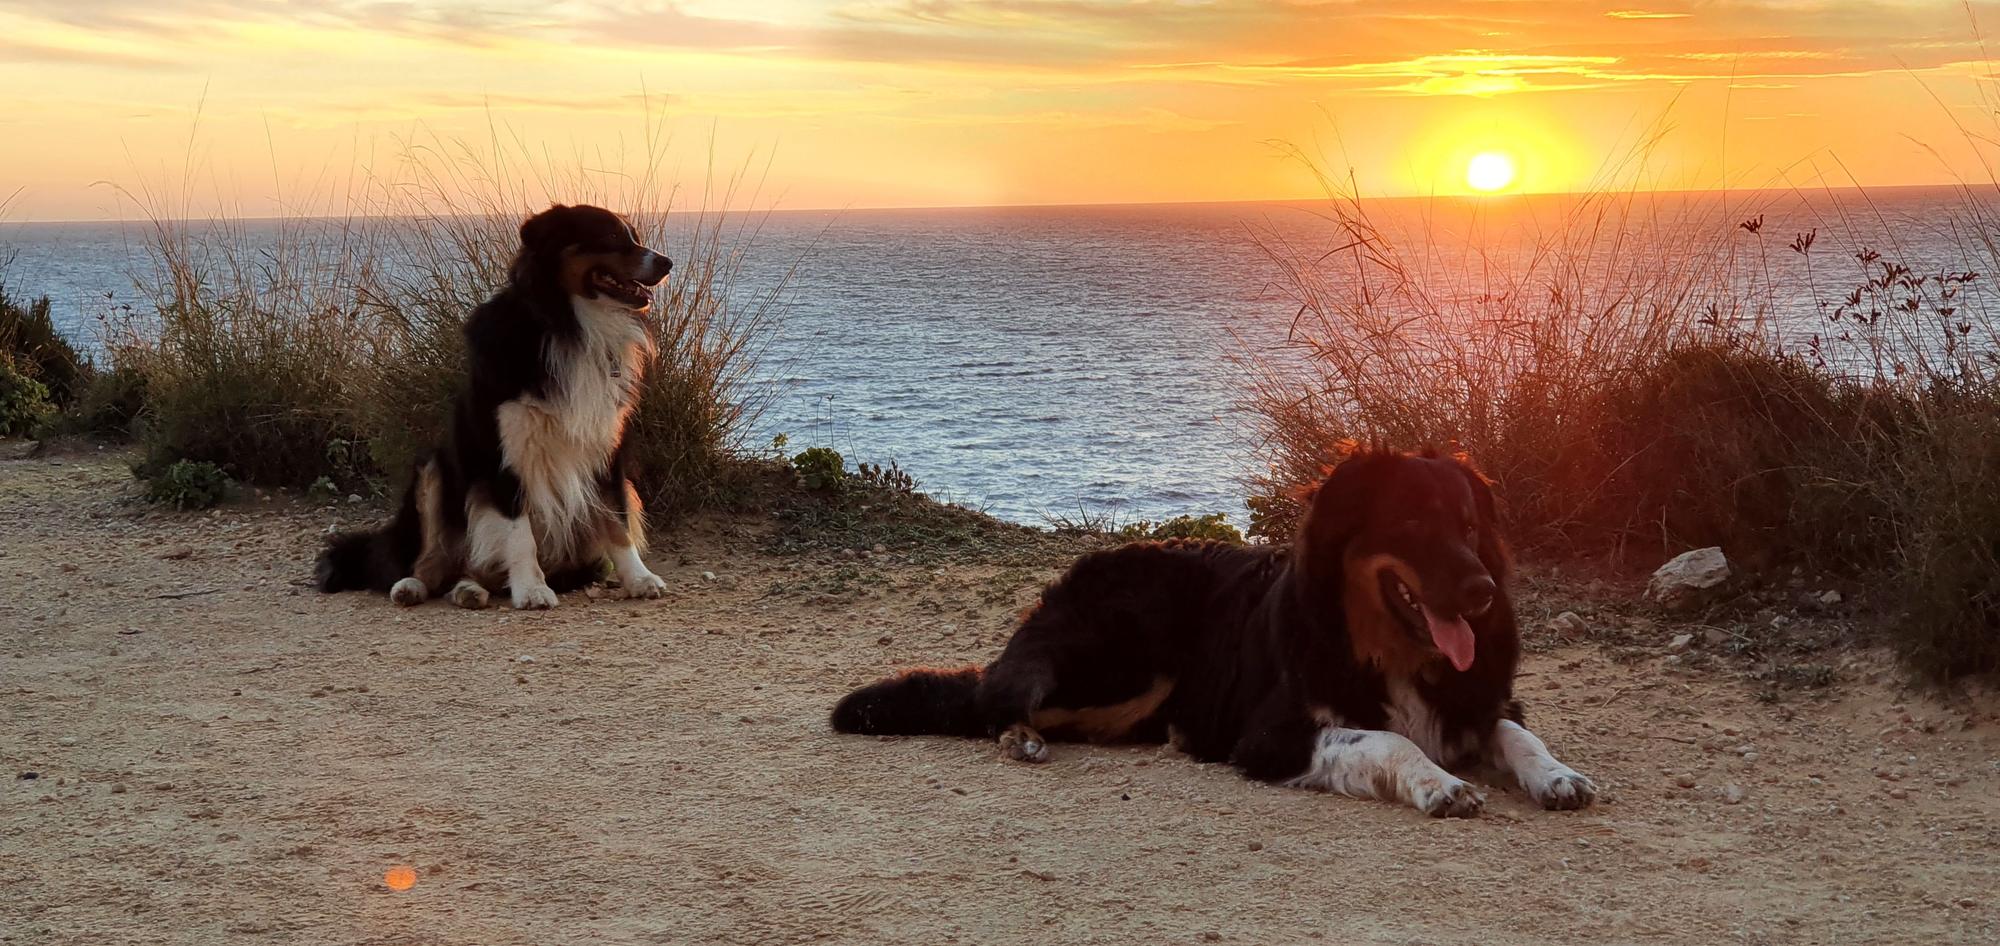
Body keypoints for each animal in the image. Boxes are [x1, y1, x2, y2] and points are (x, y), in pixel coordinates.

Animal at [318, 203, 672, 608]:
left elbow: (617, 519)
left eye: (635, 236)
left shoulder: (606, 449)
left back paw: (470, 588)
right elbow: (519, 534)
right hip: (434, 469)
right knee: (432, 557)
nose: (667, 262)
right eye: (611, 235)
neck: (568, 325)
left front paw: (639, 578)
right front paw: (532, 589)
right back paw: (415, 586)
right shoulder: (505, 455)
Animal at [828, 446, 1592, 816]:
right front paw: (1440, 784)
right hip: (1125, 660)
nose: (1483, 592)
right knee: (993, 697)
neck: (1383, 648)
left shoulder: (1478, 700)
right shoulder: (1271, 736)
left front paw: (1557, 775)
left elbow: (1517, 735)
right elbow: (1390, 739)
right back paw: (1020, 736)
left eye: (1468, 526)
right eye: (1412, 523)